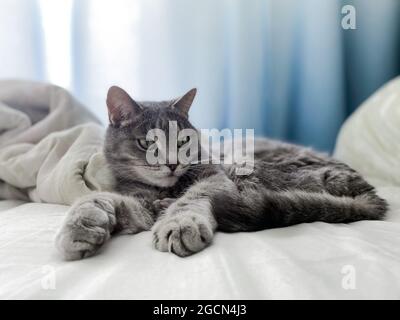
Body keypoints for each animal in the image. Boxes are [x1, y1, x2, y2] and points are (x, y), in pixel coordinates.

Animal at [54, 85, 386, 260]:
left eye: (183, 140)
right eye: (147, 142)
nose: (172, 163)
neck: (164, 190)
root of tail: (368, 190)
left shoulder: (214, 177)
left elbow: (192, 198)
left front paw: (180, 223)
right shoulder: (137, 202)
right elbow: (98, 200)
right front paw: (81, 226)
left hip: (250, 170)